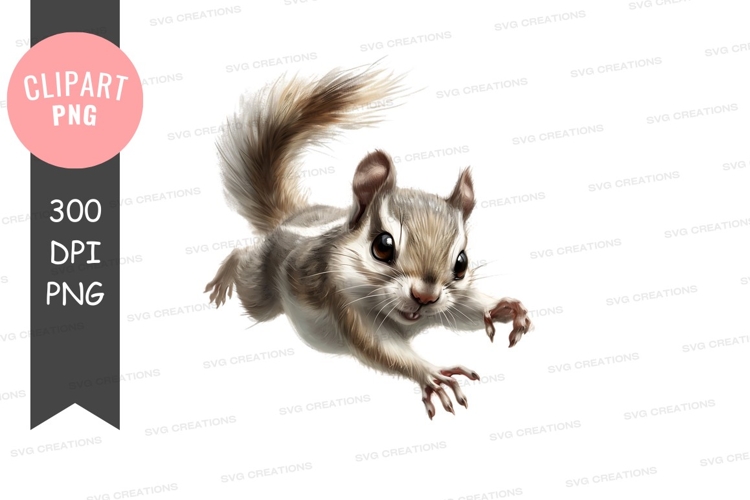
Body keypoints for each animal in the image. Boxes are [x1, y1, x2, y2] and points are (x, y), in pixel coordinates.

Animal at [205, 62, 533, 419]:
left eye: (461, 263)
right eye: (382, 247)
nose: (425, 297)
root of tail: (292, 219)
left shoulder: (451, 301)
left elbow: (463, 308)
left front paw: (502, 307)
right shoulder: (342, 303)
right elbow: (379, 347)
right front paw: (432, 374)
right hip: (260, 294)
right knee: (243, 260)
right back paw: (225, 273)